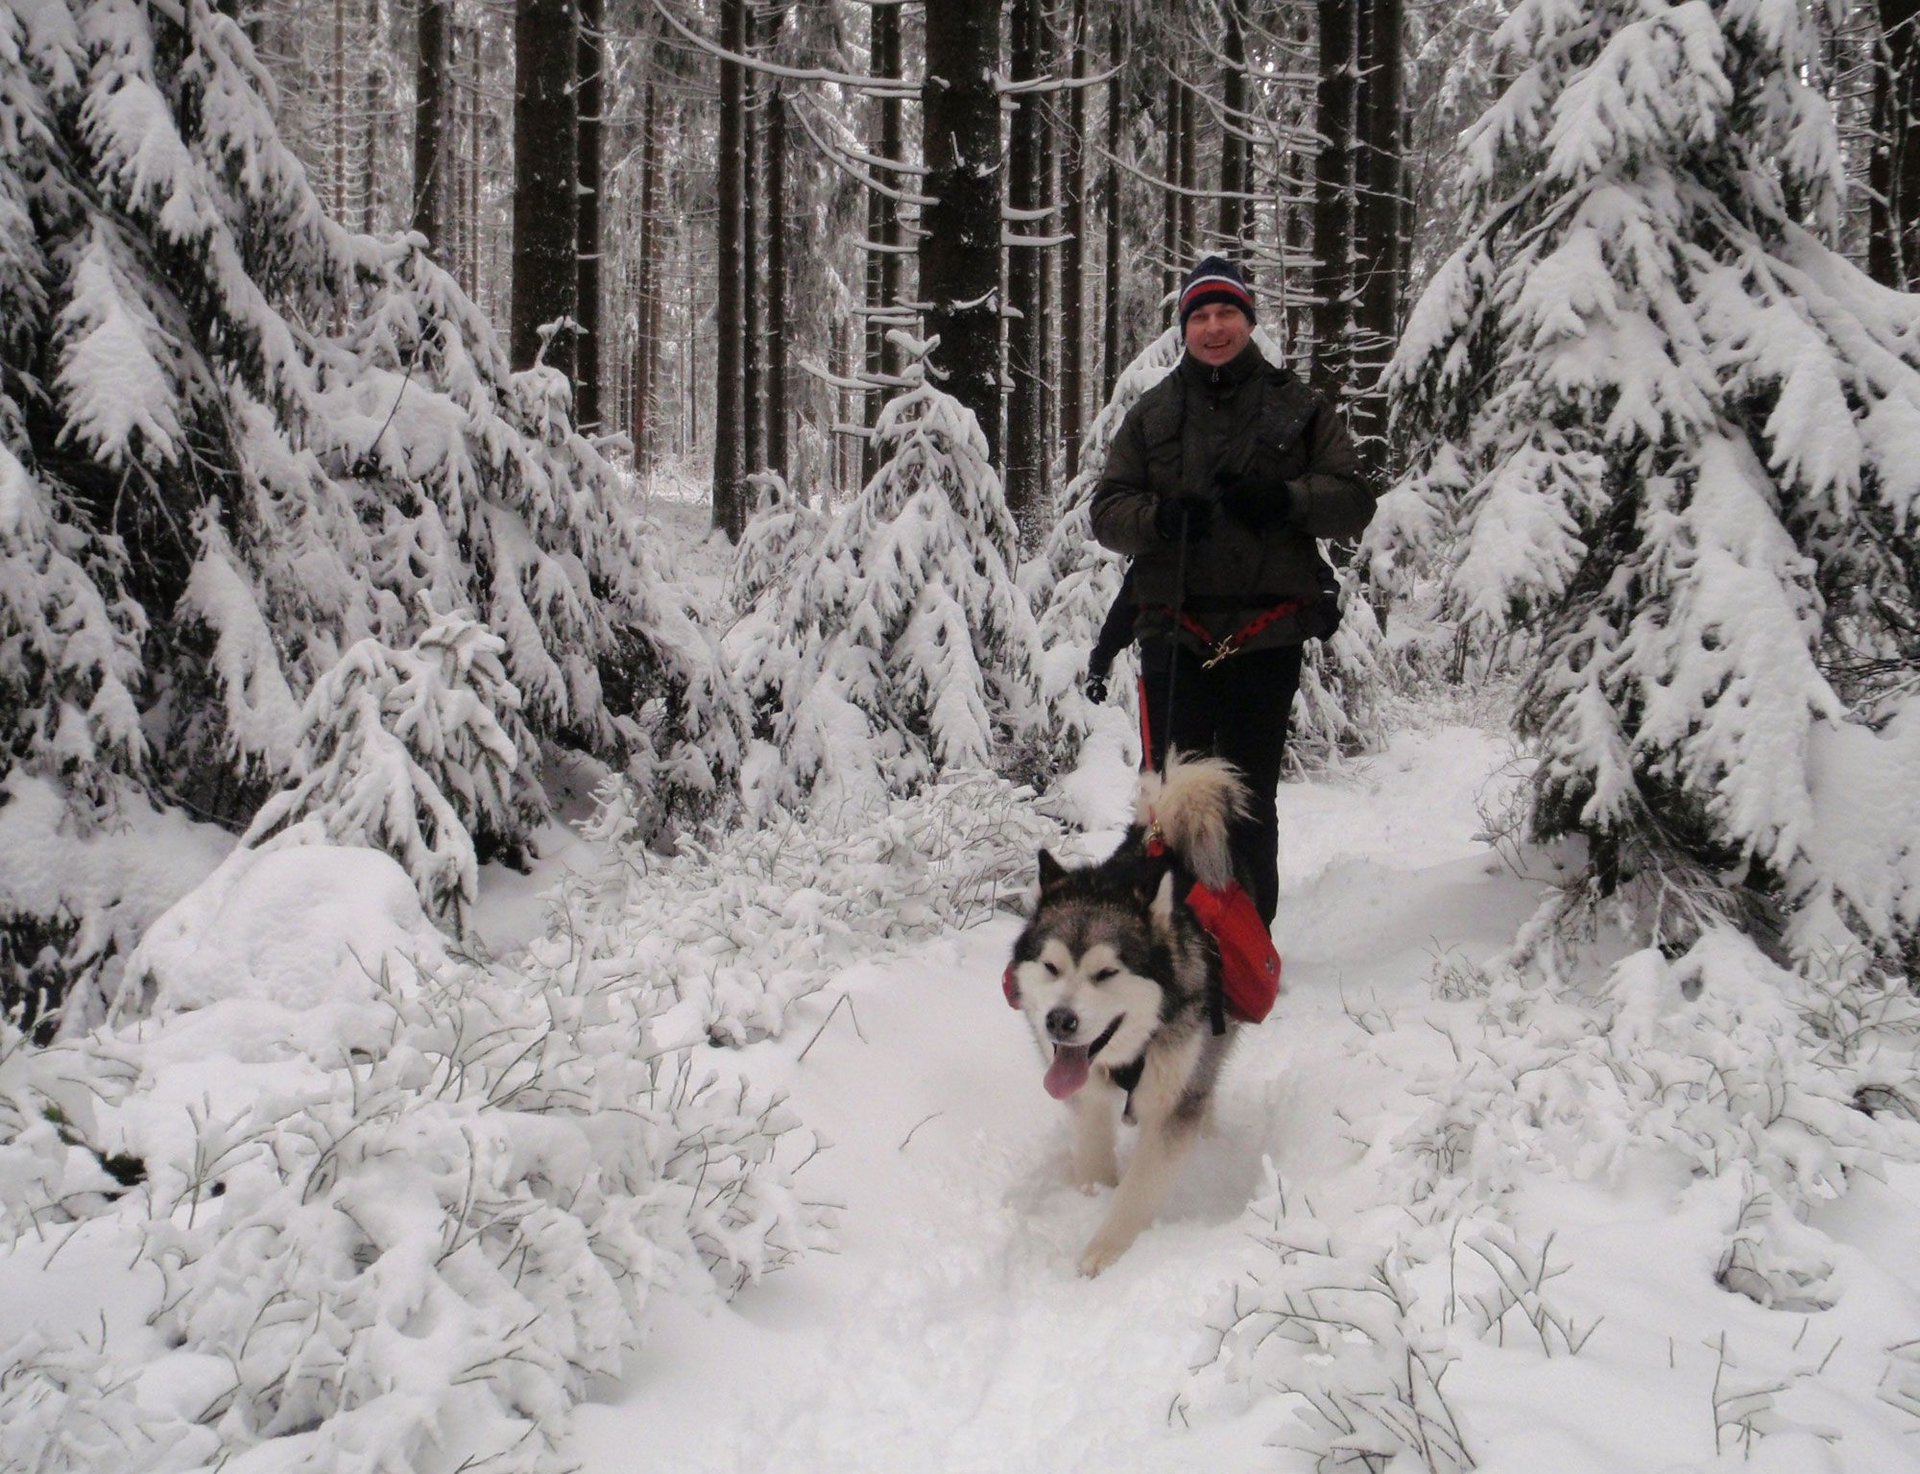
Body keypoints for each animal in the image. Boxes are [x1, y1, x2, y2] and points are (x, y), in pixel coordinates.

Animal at [1006, 752, 1244, 1274]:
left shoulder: (1172, 1097)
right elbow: (1095, 1154)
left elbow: (1138, 1191)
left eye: (1106, 973)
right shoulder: (1087, 1095)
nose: (1060, 1021)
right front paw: (1092, 1198)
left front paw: (1104, 1250)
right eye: (1051, 967)